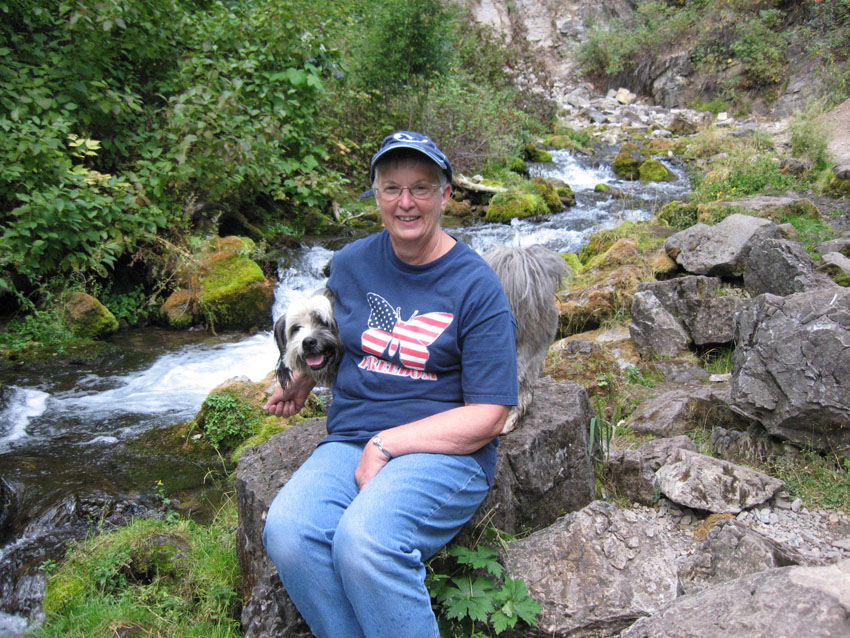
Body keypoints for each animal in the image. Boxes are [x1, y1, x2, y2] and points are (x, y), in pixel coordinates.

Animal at [274, 245, 568, 436]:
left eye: (322, 321)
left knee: (519, 390)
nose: (308, 343)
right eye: (296, 329)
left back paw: (508, 420)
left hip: (515, 353)